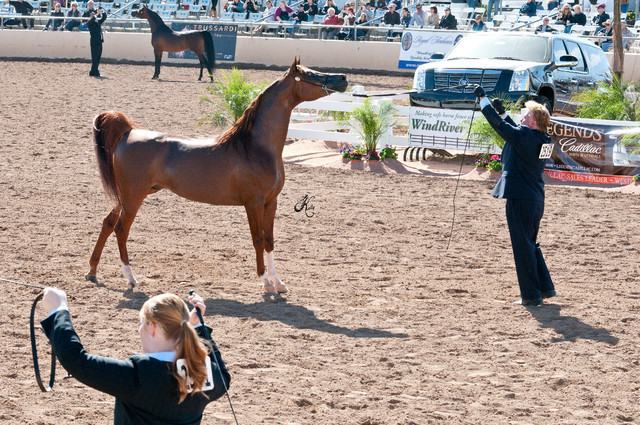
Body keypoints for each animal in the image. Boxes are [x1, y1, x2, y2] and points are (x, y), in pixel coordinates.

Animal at [86, 58, 348, 294]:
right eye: (310, 74)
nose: (343, 78)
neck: (253, 147)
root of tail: (129, 132)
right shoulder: (253, 204)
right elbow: (258, 240)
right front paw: (265, 284)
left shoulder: (271, 202)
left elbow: (270, 241)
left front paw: (279, 283)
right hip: (133, 197)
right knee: (121, 229)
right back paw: (131, 279)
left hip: (129, 196)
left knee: (108, 223)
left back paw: (92, 272)